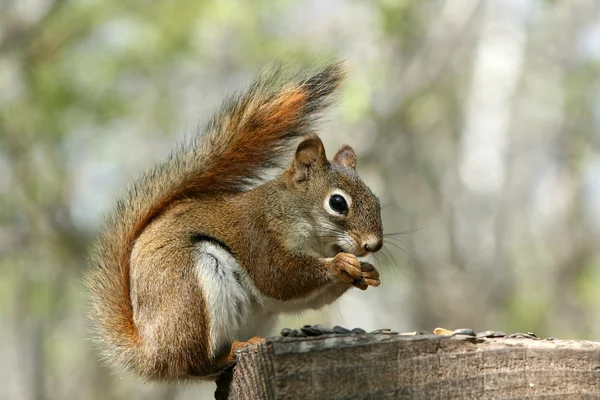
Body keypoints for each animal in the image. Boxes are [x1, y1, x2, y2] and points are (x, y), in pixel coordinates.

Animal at [85, 63, 382, 382]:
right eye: (338, 203)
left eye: (376, 200)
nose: (373, 245)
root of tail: (150, 353)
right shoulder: (258, 236)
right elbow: (280, 278)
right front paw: (340, 264)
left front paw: (367, 272)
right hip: (191, 294)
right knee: (195, 364)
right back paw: (232, 351)